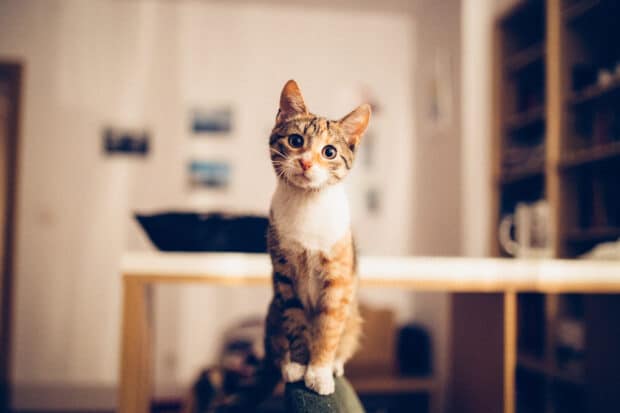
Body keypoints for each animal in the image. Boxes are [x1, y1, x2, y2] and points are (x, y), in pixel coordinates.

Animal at [266, 79, 368, 392]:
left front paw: (319, 371)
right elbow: (295, 320)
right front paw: (299, 366)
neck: (307, 203)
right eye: (296, 141)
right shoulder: (284, 275)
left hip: (354, 319)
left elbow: (328, 328)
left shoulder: (338, 279)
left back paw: (335, 365)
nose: (306, 163)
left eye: (329, 152)